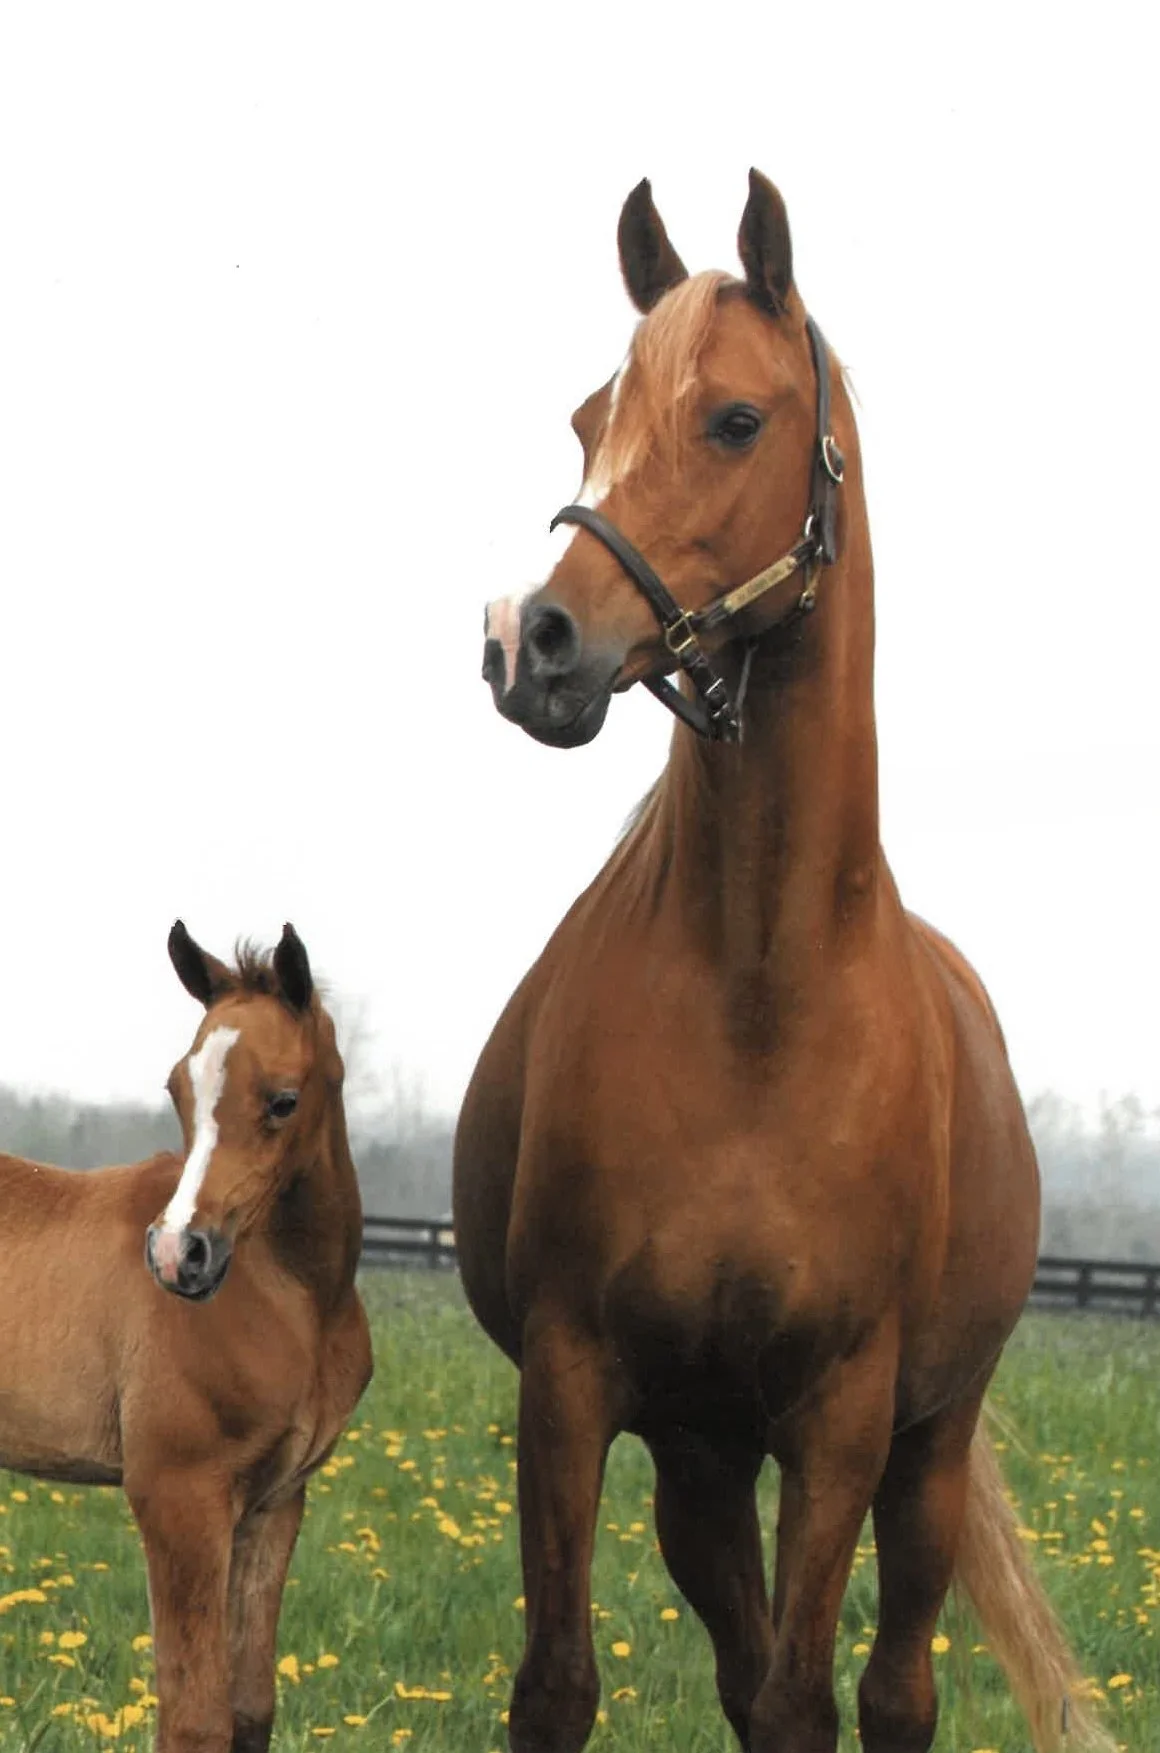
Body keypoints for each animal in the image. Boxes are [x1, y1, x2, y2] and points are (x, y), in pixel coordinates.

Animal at [0, 922, 371, 1753]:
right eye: (179, 1089)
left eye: (284, 1100)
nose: (178, 1254)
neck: (296, 1299)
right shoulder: (178, 1490)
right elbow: (195, 1713)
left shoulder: (275, 1500)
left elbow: (249, 1706)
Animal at [455, 172, 1109, 1753]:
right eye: (589, 416)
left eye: (736, 418)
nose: (530, 642)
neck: (757, 999)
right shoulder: (577, 1385)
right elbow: (563, 1683)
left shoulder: (842, 1410)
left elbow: (816, 1694)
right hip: (702, 1457)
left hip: (923, 1452)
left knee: (890, 1688)